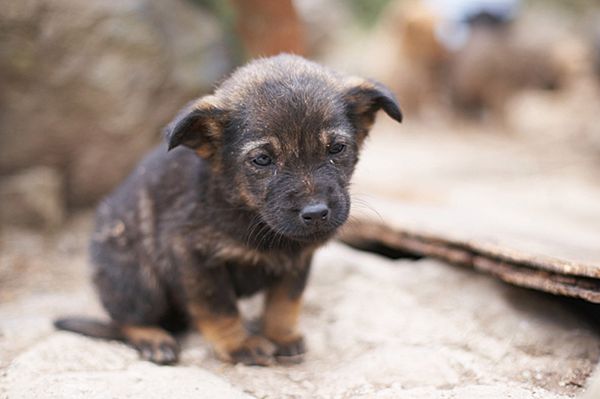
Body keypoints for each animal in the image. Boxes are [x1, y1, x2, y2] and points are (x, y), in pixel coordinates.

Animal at [55, 54, 404, 368]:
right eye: (262, 159)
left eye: (337, 148)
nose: (316, 213)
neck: (248, 213)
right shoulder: (194, 256)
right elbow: (218, 308)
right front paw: (239, 345)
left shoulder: (297, 259)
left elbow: (284, 301)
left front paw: (279, 336)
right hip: (138, 280)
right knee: (126, 318)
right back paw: (153, 339)